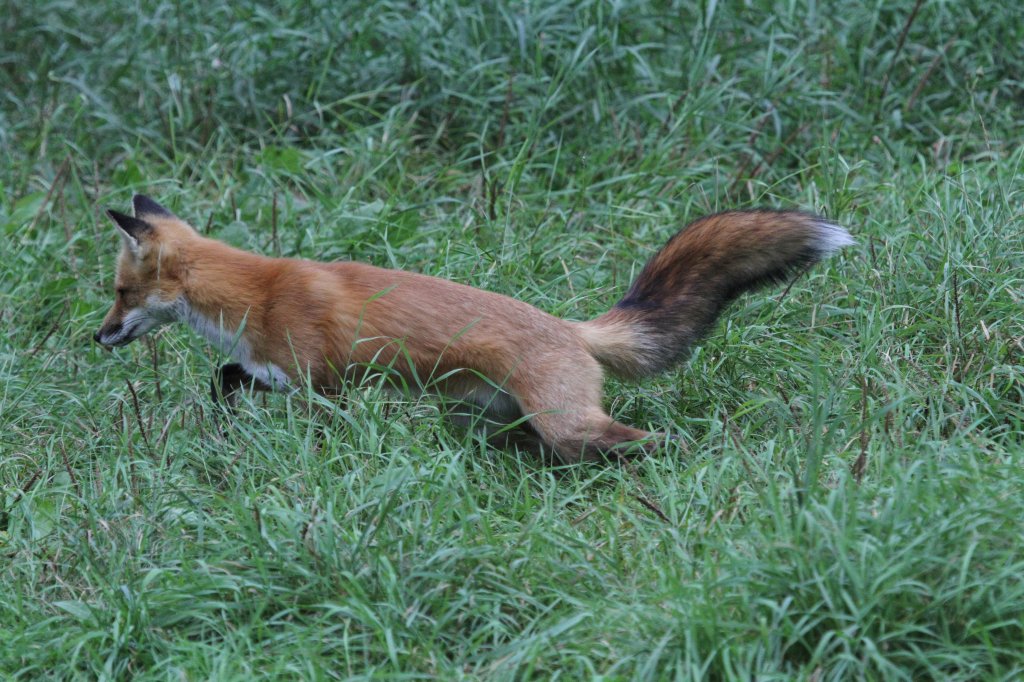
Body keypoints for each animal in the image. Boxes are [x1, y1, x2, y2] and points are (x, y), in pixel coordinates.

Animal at [96, 193, 851, 464]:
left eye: (119, 293)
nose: (98, 338)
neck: (255, 293)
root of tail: (573, 330)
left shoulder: (320, 386)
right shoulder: (275, 374)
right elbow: (224, 379)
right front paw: (221, 424)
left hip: (564, 422)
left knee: (641, 440)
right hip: (487, 418)